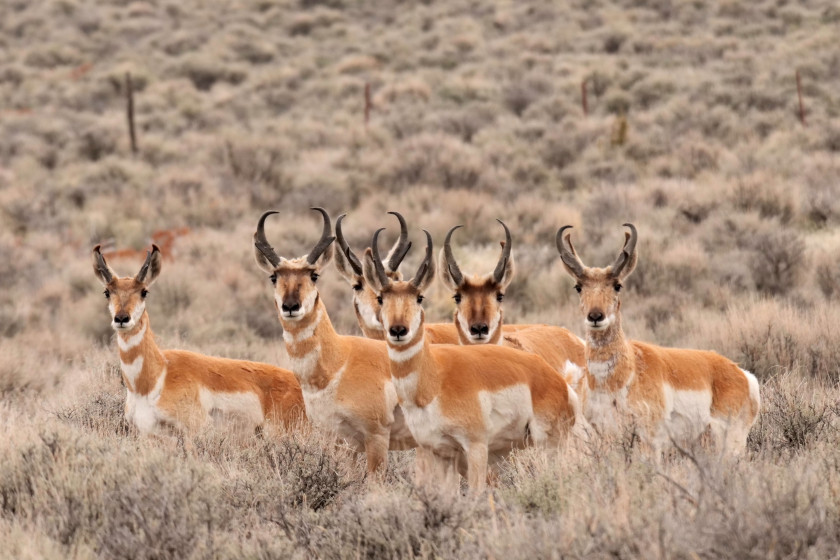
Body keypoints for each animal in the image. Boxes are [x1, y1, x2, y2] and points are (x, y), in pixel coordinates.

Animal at [251, 208, 418, 474]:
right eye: (274, 277)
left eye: (314, 274)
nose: (290, 306)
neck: (340, 361)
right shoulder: (340, 442)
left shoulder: (376, 438)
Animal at [556, 223, 760, 456]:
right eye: (578, 287)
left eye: (617, 285)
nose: (596, 316)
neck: (622, 375)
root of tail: (743, 374)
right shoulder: (607, 436)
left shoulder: (650, 439)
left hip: (730, 443)